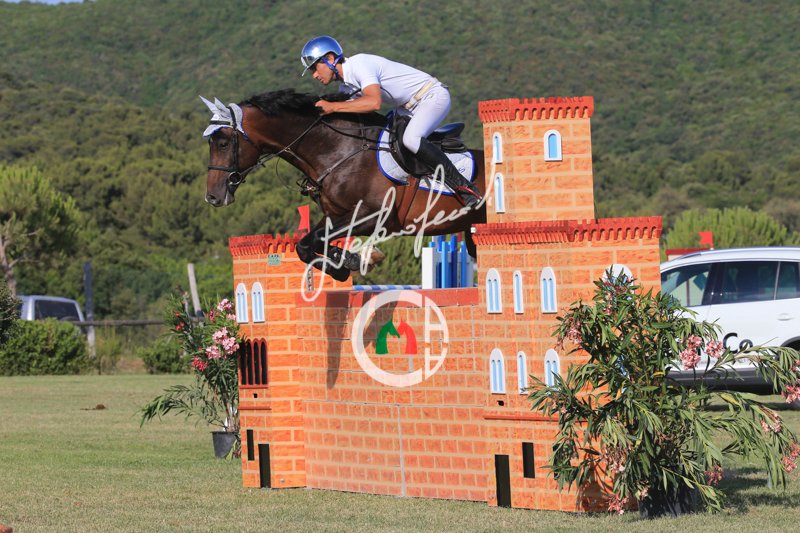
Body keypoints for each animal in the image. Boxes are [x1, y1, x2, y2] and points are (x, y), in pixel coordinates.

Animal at [203, 89, 486, 283]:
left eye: (224, 143)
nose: (213, 197)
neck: (337, 150)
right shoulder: (334, 215)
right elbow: (306, 245)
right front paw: (350, 261)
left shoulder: (373, 216)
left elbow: (315, 241)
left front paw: (352, 262)